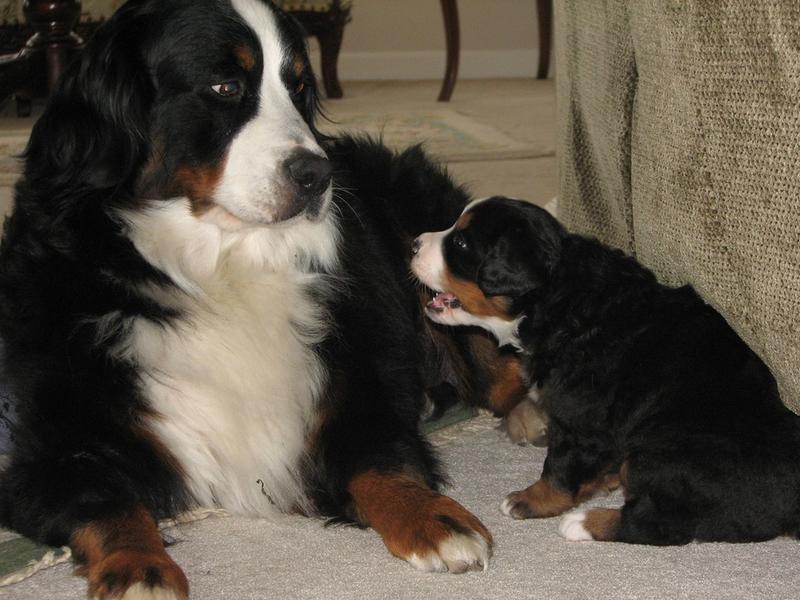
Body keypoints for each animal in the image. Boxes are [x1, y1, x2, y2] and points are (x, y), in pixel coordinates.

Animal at [0, 2, 536, 596]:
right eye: (225, 86)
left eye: (299, 88)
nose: (317, 175)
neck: (224, 264)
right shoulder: (57, 448)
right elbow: (107, 502)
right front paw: (139, 568)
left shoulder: (353, 387)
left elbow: (380, 460)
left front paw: (434, 518)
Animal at [410, 198, 800, 548]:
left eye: (461, 244)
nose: (413, 243)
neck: (556, 301)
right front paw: (597, 479)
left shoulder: (579, 419)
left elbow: (558, 469)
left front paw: (530, 500)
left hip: (661, 456)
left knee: (658, 526)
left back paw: (582, 522)